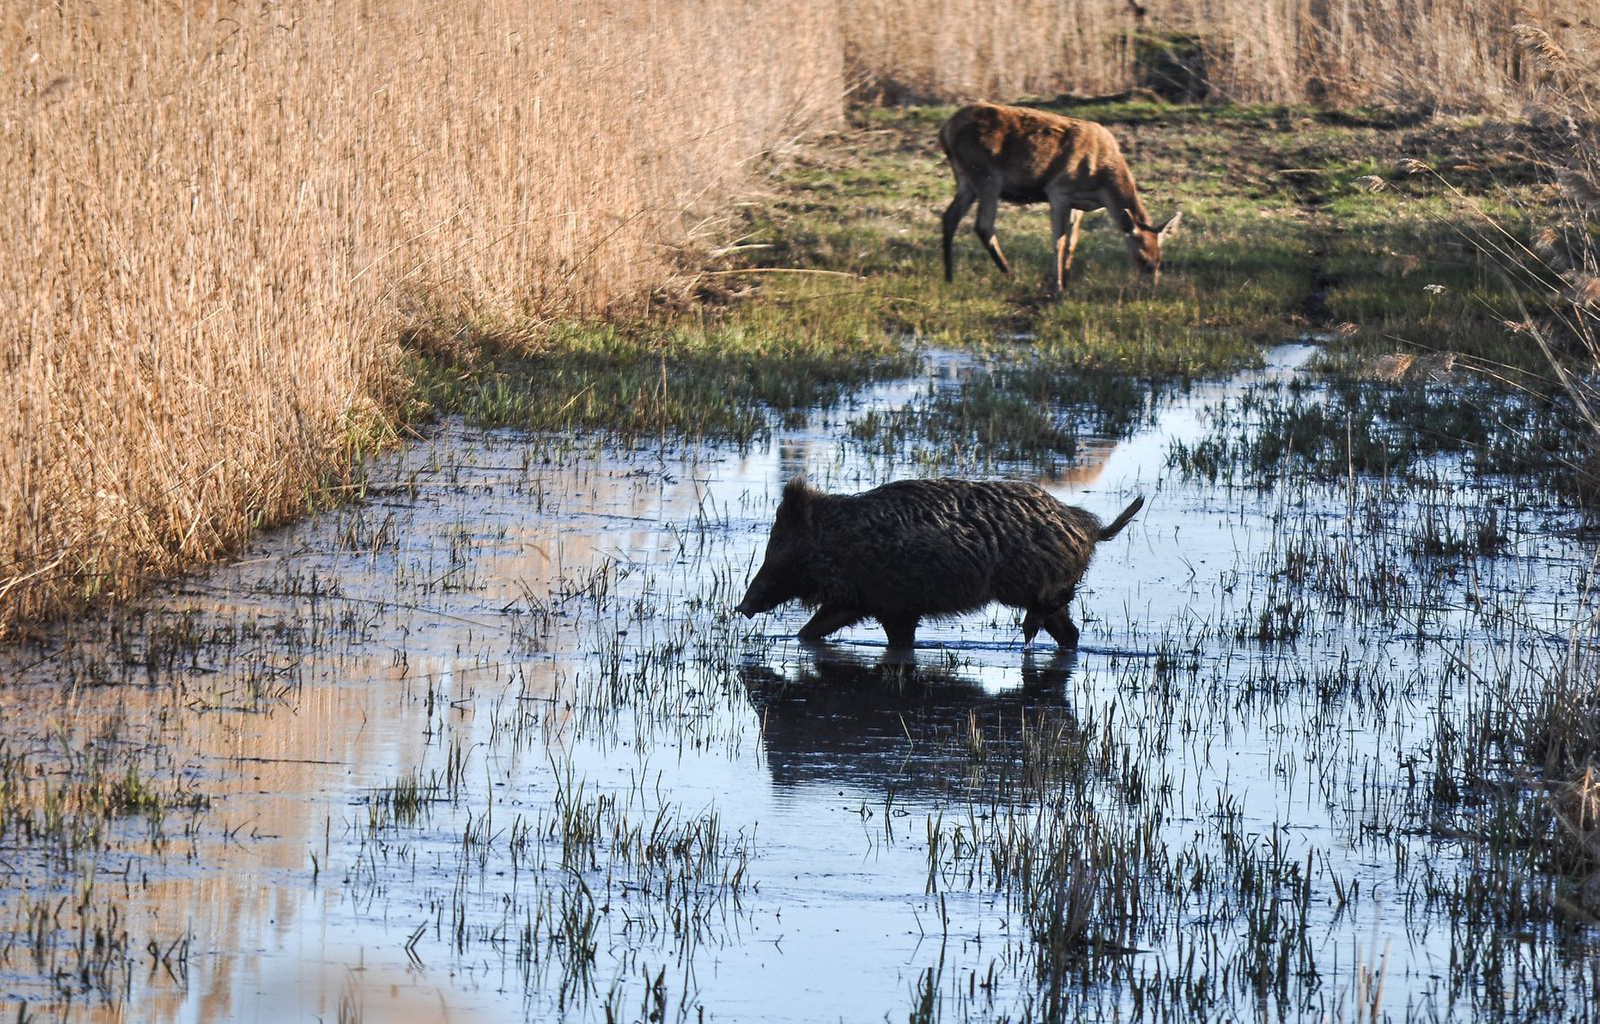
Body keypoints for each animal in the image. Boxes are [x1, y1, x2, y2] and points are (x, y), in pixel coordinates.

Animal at [934, 101, 1184, 288]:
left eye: (1160, 259)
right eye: (1140, 257)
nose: (1151, 286)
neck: (1101, 183)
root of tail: (945, 129)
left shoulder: (1078, 203)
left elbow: (1073, 241)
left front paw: (1068, 277)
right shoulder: (1058, 190)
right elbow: (1059, 241)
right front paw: (1058, 283)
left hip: (966, 178)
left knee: (950, 217)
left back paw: (949, 276)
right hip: (986, 175)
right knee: (984, 225)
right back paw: (1011, 275)